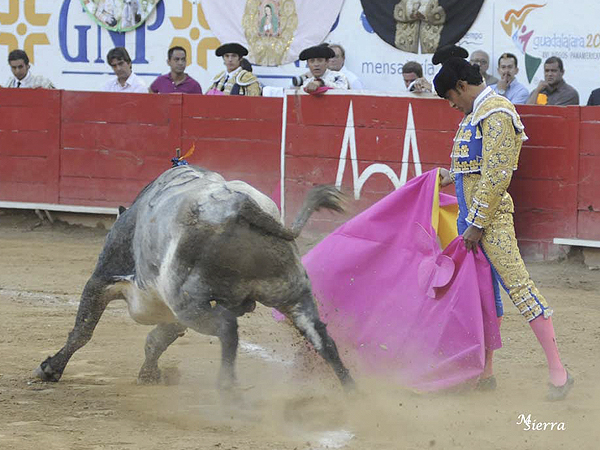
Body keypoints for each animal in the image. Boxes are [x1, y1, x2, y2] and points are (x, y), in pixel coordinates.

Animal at [35, 167, 354, 392]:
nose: (247, 305)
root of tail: (239, 204)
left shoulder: (104, 279)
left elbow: (83, 330)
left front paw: (50, 369)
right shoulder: (174, 313)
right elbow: (156, 340)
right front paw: (150, 375)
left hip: (189, 303)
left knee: (227, 330)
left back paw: (228, 387)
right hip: (290, 291)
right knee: (322, 339)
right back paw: (352, 394)